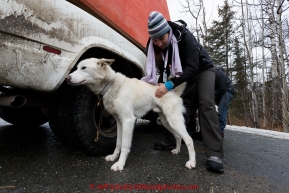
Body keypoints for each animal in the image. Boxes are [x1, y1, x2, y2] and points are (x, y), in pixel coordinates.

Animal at [65, 58, 196, 171]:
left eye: (84, 68)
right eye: (77, 67)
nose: (67, 78)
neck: (111, 85)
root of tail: (173, 91)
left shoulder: (128, 121)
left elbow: (124, 146)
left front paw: (120, 164)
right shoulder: (119, 122)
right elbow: (118, 143)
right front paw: (114, 157)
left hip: (174, 121)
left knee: (189, 140)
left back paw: (192, 162)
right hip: (166, 122)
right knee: (178, 136)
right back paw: (177, 150)